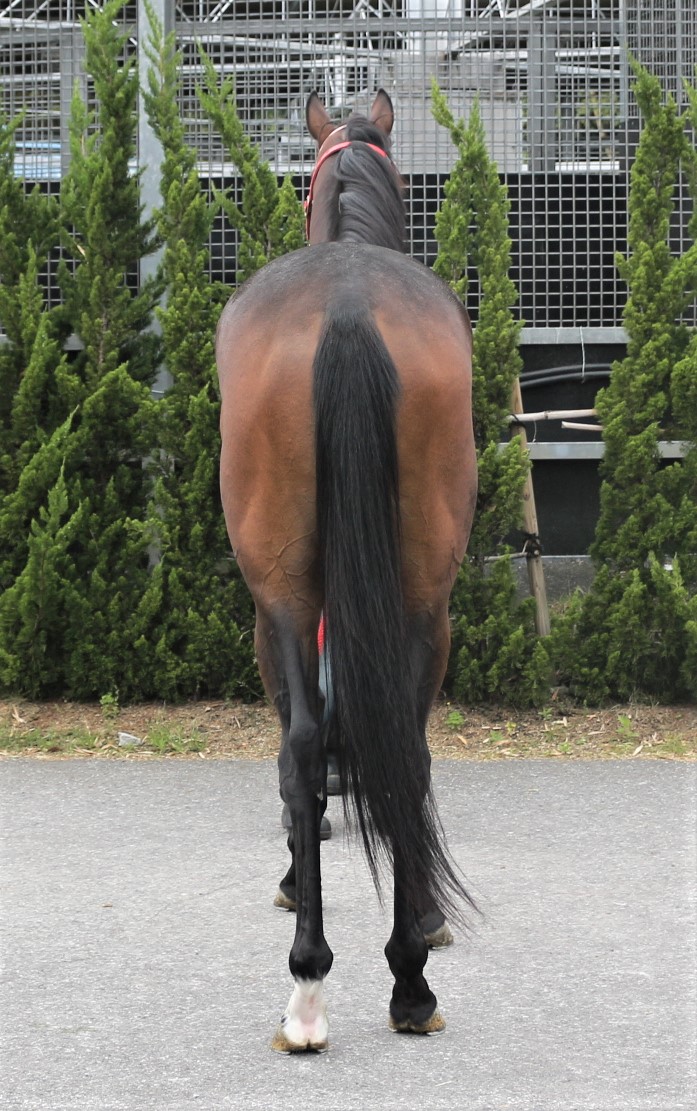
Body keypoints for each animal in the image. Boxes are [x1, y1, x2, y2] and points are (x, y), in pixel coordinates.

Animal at [216, 89, 477, 1052]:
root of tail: (349, 309)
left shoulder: (272, 613)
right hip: (419, 597)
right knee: (399, 743)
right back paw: (396, 974)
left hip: (292, 598)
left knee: (306, 747)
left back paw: (330, 982)